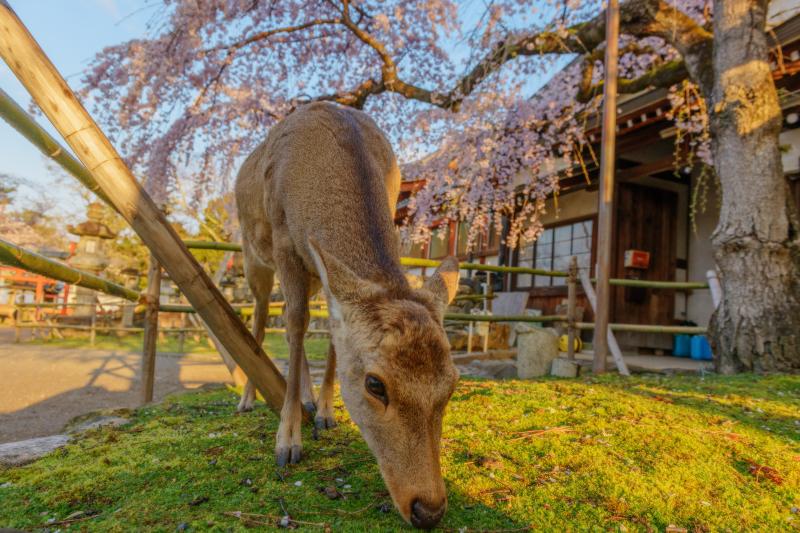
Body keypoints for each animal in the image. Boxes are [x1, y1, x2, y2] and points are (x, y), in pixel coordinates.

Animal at [234, 101, 460, 528]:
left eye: (453, 383)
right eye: (375, 384)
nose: (429, 509)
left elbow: (331, 335)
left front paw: (325, 412)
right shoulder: (285, 241)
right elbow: (295, 324)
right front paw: (287, 443)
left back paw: (308, 401)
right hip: (252, 255)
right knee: (262, 317)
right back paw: (247, 400)